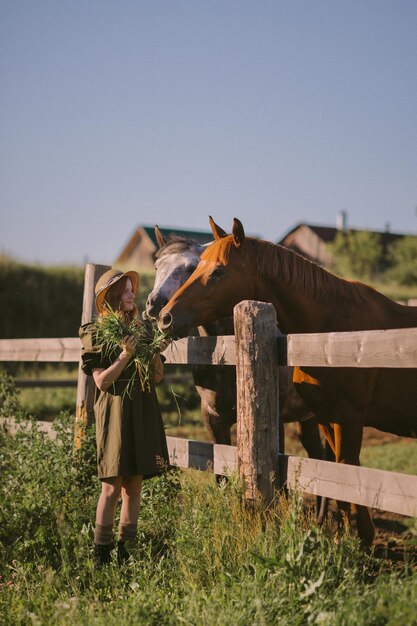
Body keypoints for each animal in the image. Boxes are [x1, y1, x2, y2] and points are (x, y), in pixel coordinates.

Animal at [158, 217, 416, 544]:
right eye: (198, 266)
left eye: (218, 271)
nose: (164, 316)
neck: (332, 332)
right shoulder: (328, 418)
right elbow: (336, 476)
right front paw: (347, 538)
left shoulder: (348, 419)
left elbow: (348, 475)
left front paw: (361, 540)